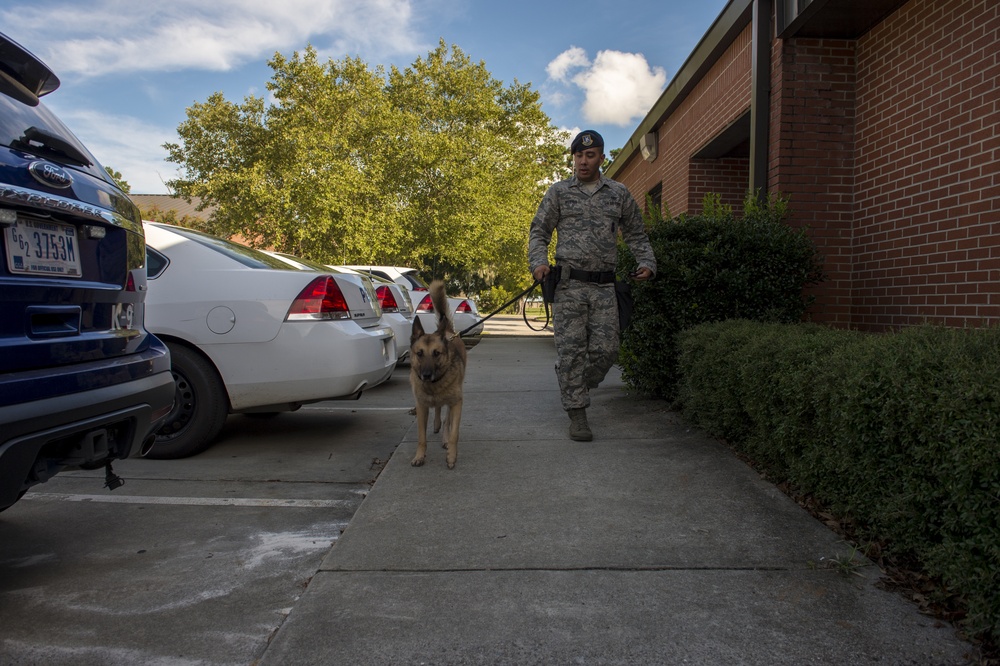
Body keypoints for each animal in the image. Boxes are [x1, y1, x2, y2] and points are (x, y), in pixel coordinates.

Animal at [408, 278, 466, 466]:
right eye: (419, 353)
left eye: (436, 353)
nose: (426, 375)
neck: (434, 385)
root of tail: (447, 331)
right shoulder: (421, 407)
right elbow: (421, 437)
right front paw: (419, 456)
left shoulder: (456, 403)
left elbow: (454, 433)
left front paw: (451, 456)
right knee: (439, 410)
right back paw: (436, 424)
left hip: (453, 400)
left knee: (446, 418)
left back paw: (444, 437)